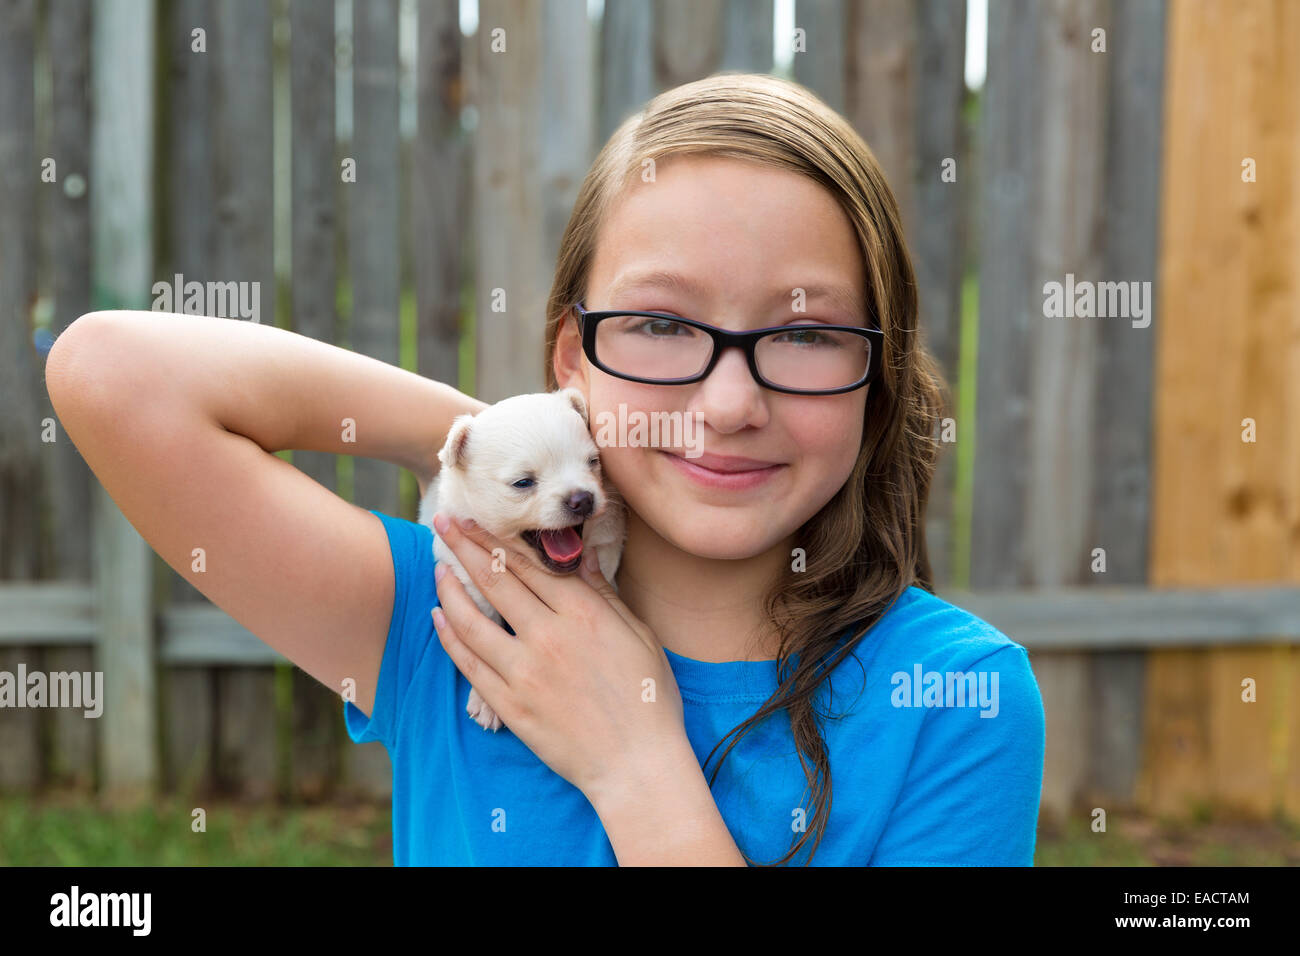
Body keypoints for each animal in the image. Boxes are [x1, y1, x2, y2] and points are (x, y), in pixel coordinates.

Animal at [413, 390, 621, 733]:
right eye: (523, 482)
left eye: (592, 462)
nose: (583, 499)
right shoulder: (466, 575)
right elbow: (488, 621)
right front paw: (486, 701)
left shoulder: (607, 544)